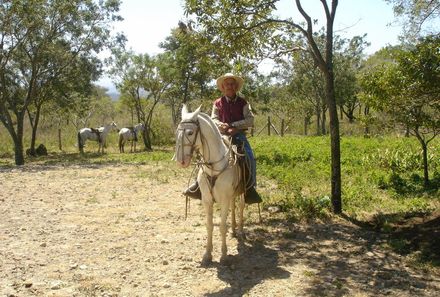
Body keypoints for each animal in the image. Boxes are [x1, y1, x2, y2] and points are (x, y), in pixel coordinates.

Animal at [174, 104, 246, 264]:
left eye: (190, 132)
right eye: (177, 132)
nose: (181, 161)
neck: (214, 166)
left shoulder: (224, 201)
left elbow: (222, 227)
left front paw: (224, 255)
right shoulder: (207, 200)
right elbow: (209, 226)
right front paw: (207, 254)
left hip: (243, 191)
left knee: (241, 206)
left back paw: (240, 231)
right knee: (234, 205)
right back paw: (234, 230)